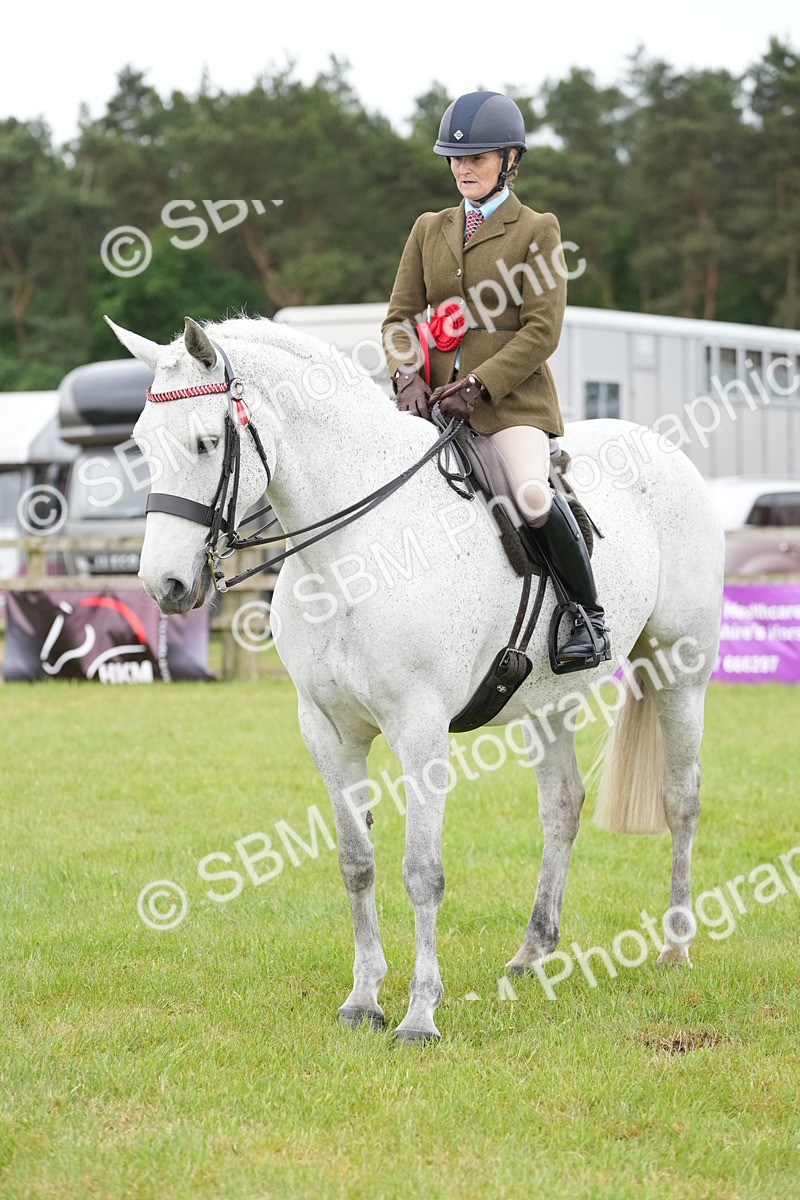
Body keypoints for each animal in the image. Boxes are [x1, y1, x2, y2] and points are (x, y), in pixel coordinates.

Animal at [106, 312, 726, 1044]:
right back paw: (532, 952)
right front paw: (363, 999)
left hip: (680, 668)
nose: (165, 586)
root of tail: (665, 448)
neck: (351, 557)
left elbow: (421, 871)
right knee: (561, 806)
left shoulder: (420, 728)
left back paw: (675, 946)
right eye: (142, 444)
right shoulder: (327, 731)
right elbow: (357, 863)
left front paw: (420, 1014)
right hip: (548, 700)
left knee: (681, 797)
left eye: (206, 442)